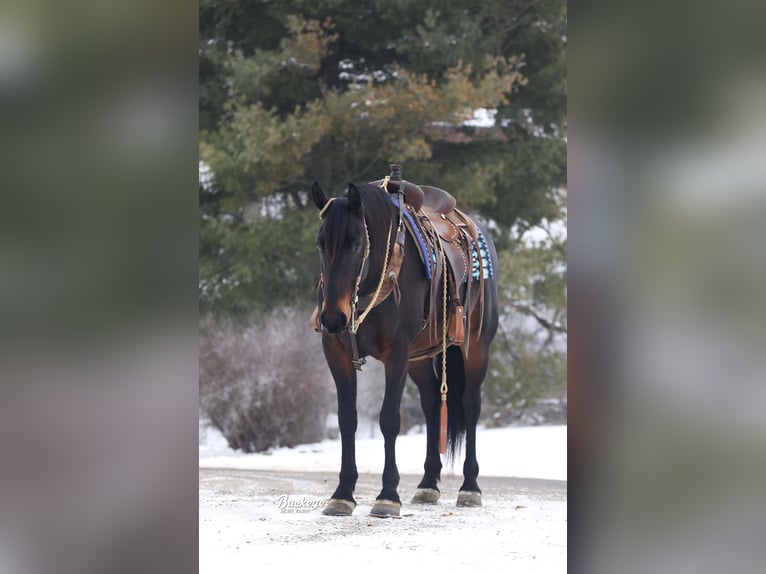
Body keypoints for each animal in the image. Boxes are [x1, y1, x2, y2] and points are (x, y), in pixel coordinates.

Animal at [308, 179, 500, 516]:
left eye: (355, 244)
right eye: (321, 244)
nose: (333, 317)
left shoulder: (396, 353)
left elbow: (389, 419)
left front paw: (387, 495)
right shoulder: (337, 352)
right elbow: (347, 419)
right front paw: (343, 493)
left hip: (476, 349)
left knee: (470, 406)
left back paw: (470, 488)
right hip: (419, 359)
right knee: (432, 404)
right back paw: (427, 485)